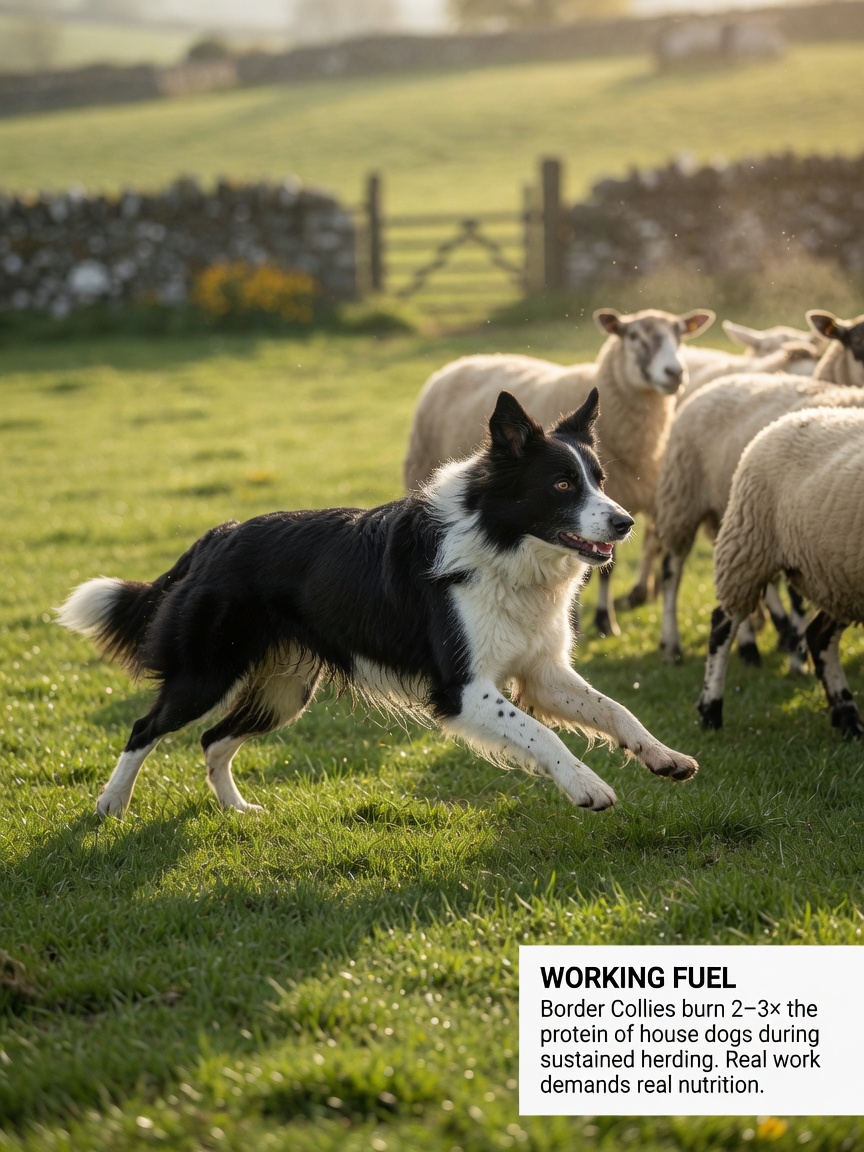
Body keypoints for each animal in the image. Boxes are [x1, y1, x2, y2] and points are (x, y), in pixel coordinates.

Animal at [403, 306, 715, 637]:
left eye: (680, 335)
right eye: (633, 336)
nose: (675, 374)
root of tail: (465, 359)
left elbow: (618, 560)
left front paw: (605, 617)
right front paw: (593, 621)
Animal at [655, 372, 864, 666]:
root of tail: (723, 379)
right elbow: (797, 599)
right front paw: (797, 659)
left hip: (746, 525)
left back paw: (754, 642)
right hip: (684, 500)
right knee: (672, 570)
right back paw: (673, 644)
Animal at [697, 407, 864, 738]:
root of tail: (791, 417)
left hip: (839, 577)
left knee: (818, 636)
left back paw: (848, 718)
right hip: (749, 546)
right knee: (722, 625)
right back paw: (711, 712)